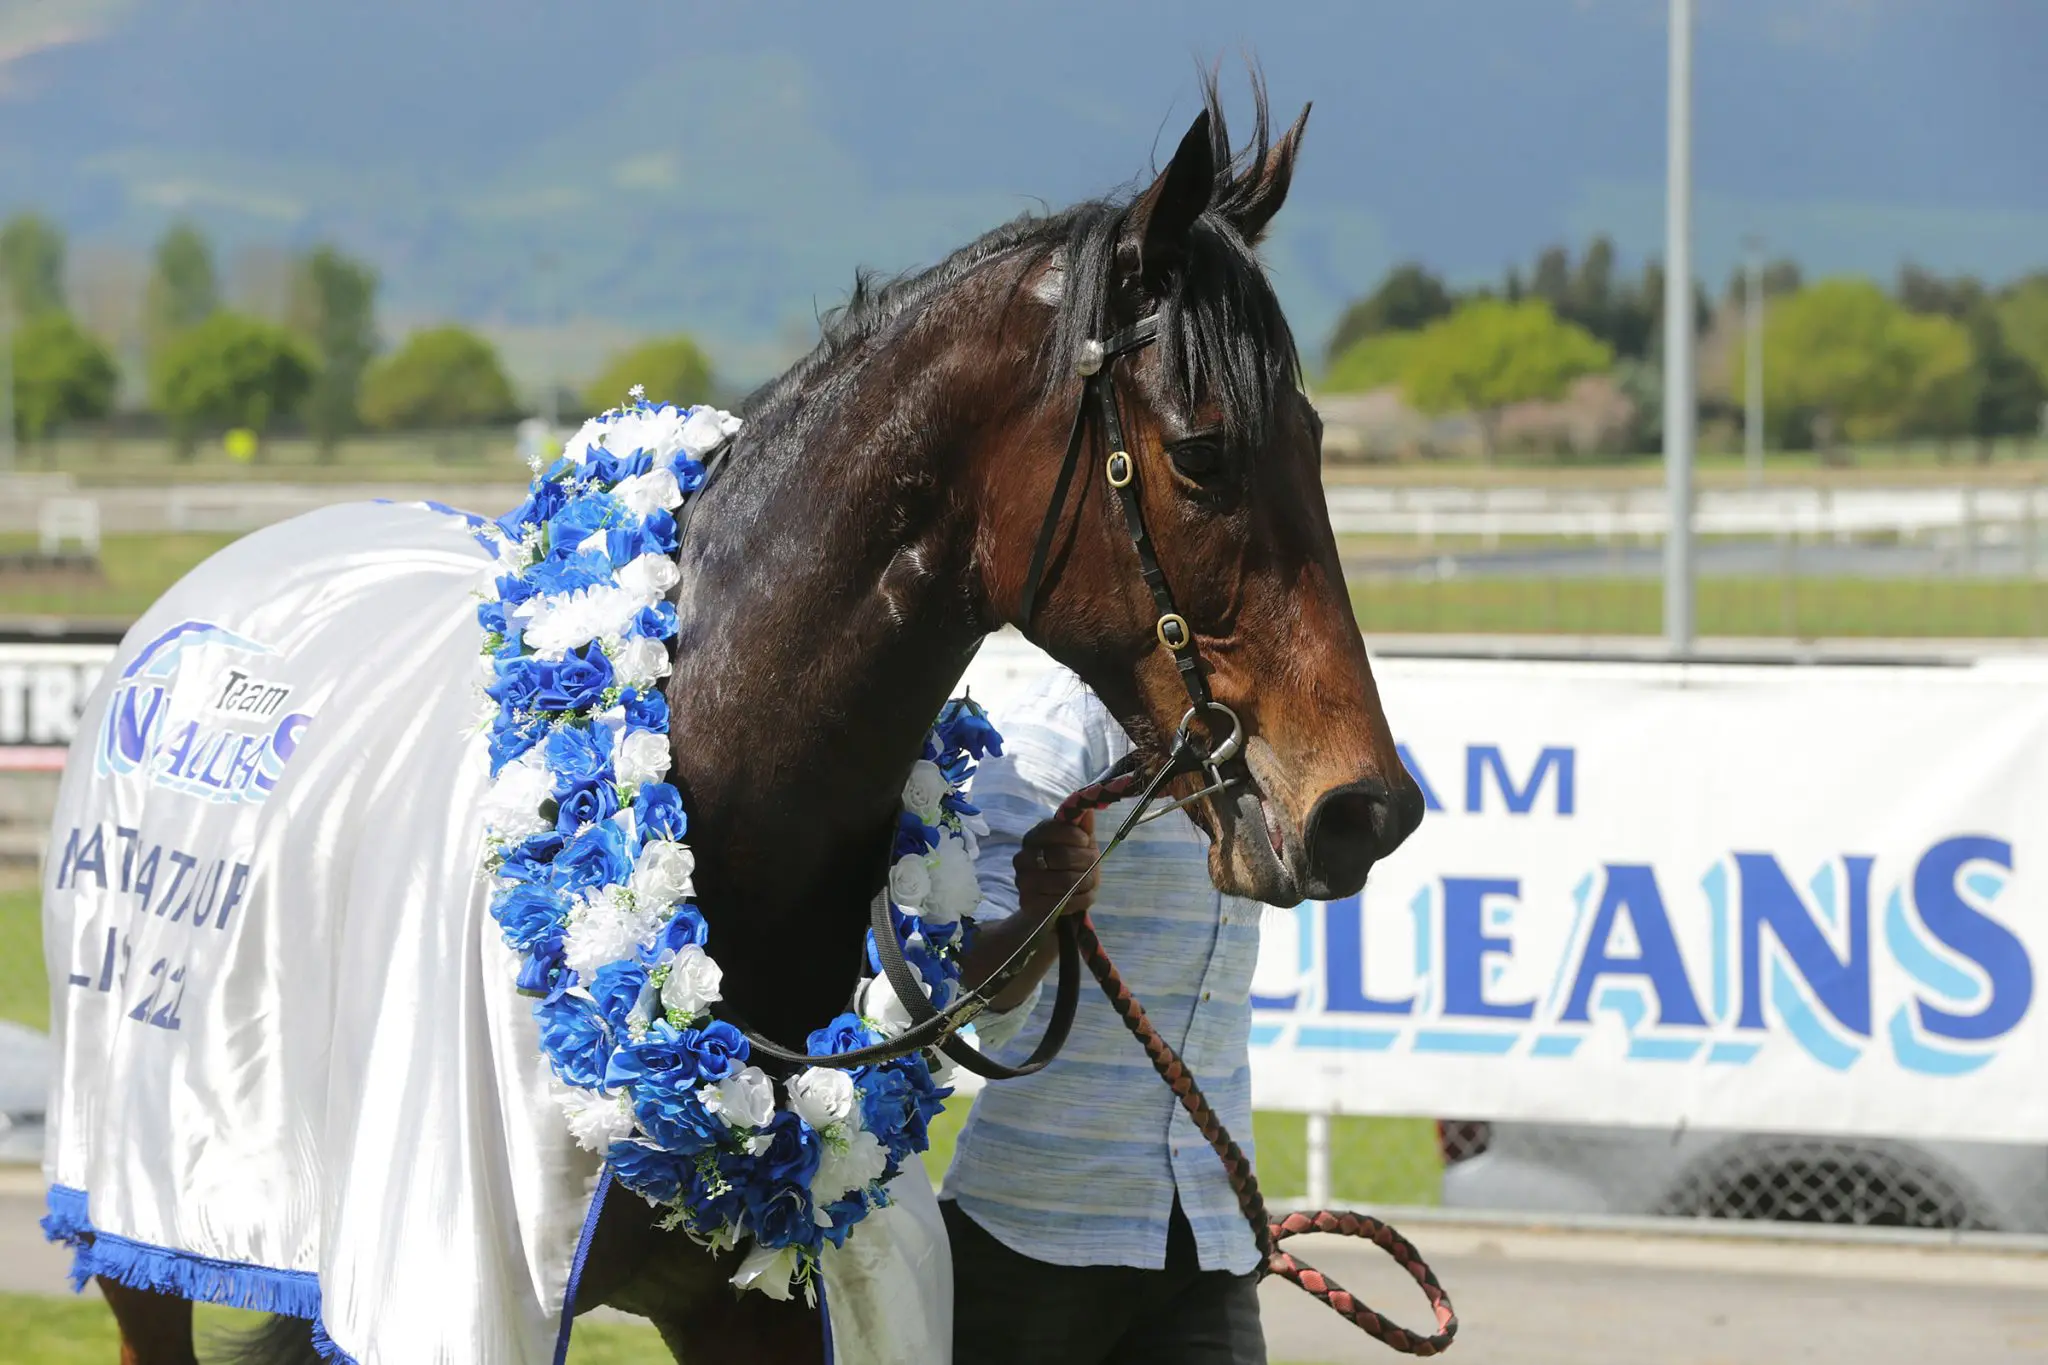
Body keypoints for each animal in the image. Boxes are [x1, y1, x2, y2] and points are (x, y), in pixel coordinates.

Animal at [96, 77, 1425, 1365]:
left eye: (1315, 436)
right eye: (1202, 451)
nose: (1366, 807)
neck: (713, 778)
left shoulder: (768, 1300)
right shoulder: (452, 1292)